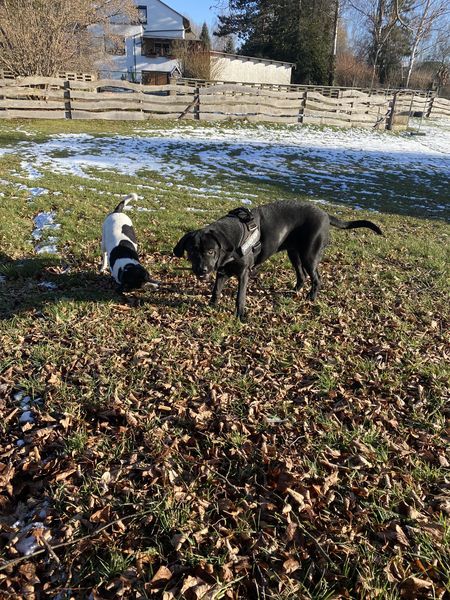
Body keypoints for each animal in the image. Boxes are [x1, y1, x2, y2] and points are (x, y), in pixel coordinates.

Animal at [173, 200, 383, 320]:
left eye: (210, 251)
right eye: (191, 251)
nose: (201, 270)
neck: (231, 240)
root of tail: (325, 214)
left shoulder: (243, 273)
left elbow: (240, 297)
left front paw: (240, 316)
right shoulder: (222, 271)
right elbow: (216, 291)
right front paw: (211, 306)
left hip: (309, 255)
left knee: (316, 279)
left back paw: (311, 298)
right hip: (294, 254)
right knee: (302, 276)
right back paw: (295, 291)